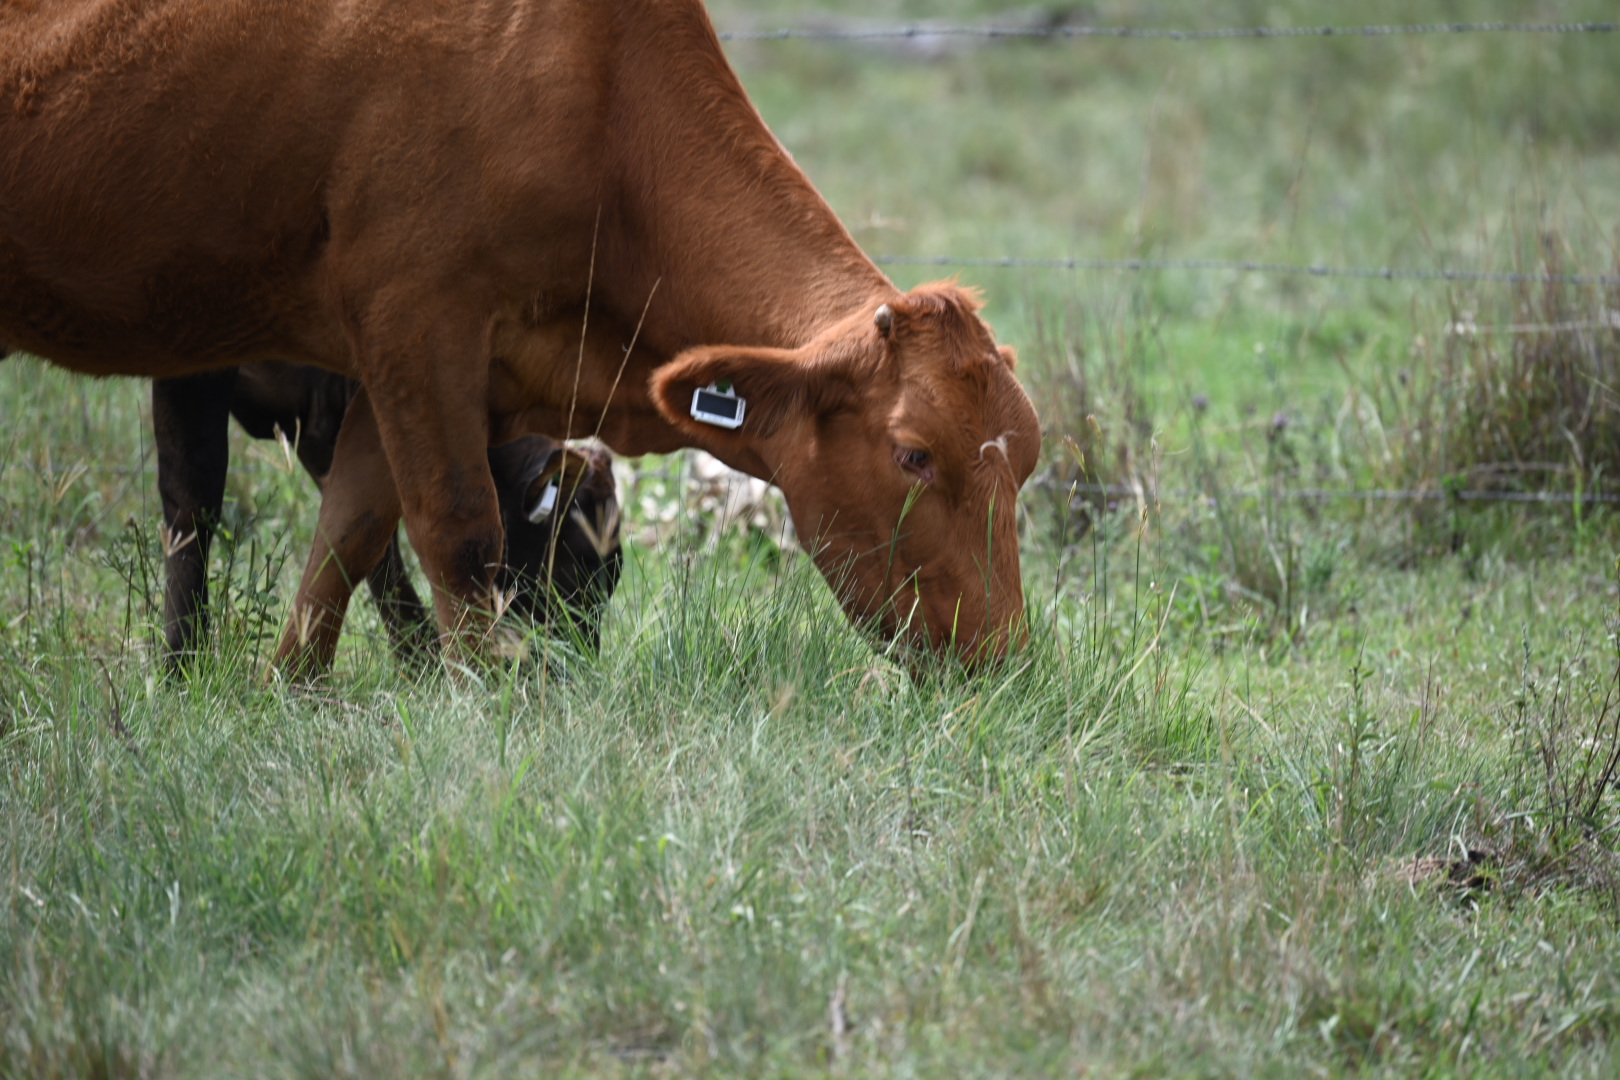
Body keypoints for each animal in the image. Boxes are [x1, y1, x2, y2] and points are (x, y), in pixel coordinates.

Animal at [153, 362, 618, 667]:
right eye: (579, 560)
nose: (576, 668)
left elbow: (359, 528)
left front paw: (423, 660)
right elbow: (193, 493)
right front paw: (183, 663)